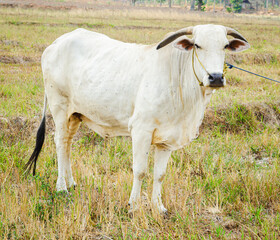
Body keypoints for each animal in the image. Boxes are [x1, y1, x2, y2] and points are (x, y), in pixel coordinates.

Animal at [25, 24, 249, 212]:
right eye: (197, 45)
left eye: (225, 46)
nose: (216, 77)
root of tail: (56, 43)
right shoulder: (141, 131)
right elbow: (140, 171)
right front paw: (133, 206)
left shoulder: (167, 139)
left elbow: (160, 175)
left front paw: (158, 207)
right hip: (59, 109)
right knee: (60, 143)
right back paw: (61, 187)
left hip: (75, 115)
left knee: (68, 145)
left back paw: (71, 183)